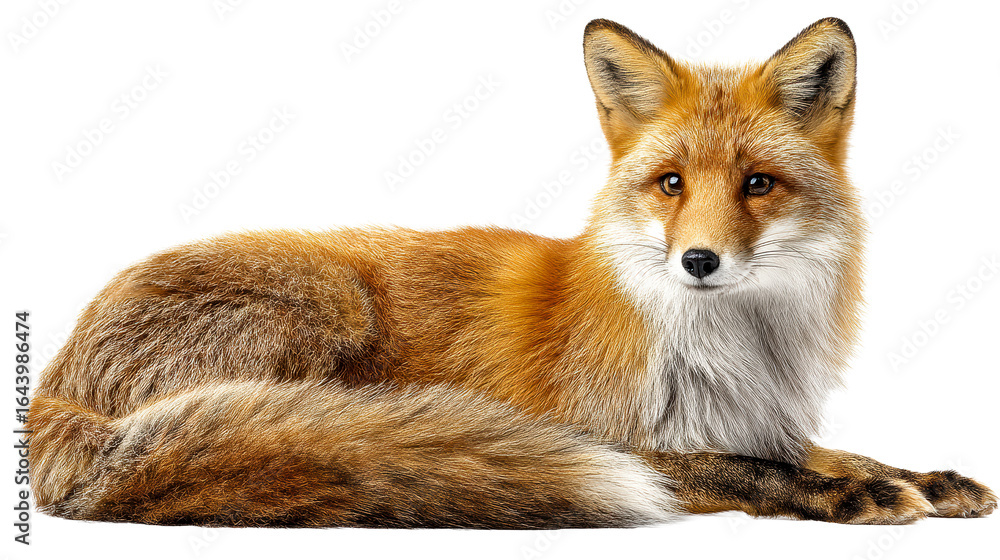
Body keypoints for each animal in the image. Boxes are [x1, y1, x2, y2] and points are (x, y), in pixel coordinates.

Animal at [29, 17, 996, 528]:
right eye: (671, 184)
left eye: (757, 184)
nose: (699, 260)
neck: (732, 350)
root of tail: (56, 383)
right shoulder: (622, 441)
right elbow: (756, 472)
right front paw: (858, 494)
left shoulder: (756, 420)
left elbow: (828, 450)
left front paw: (927, 477)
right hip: (326, 305)